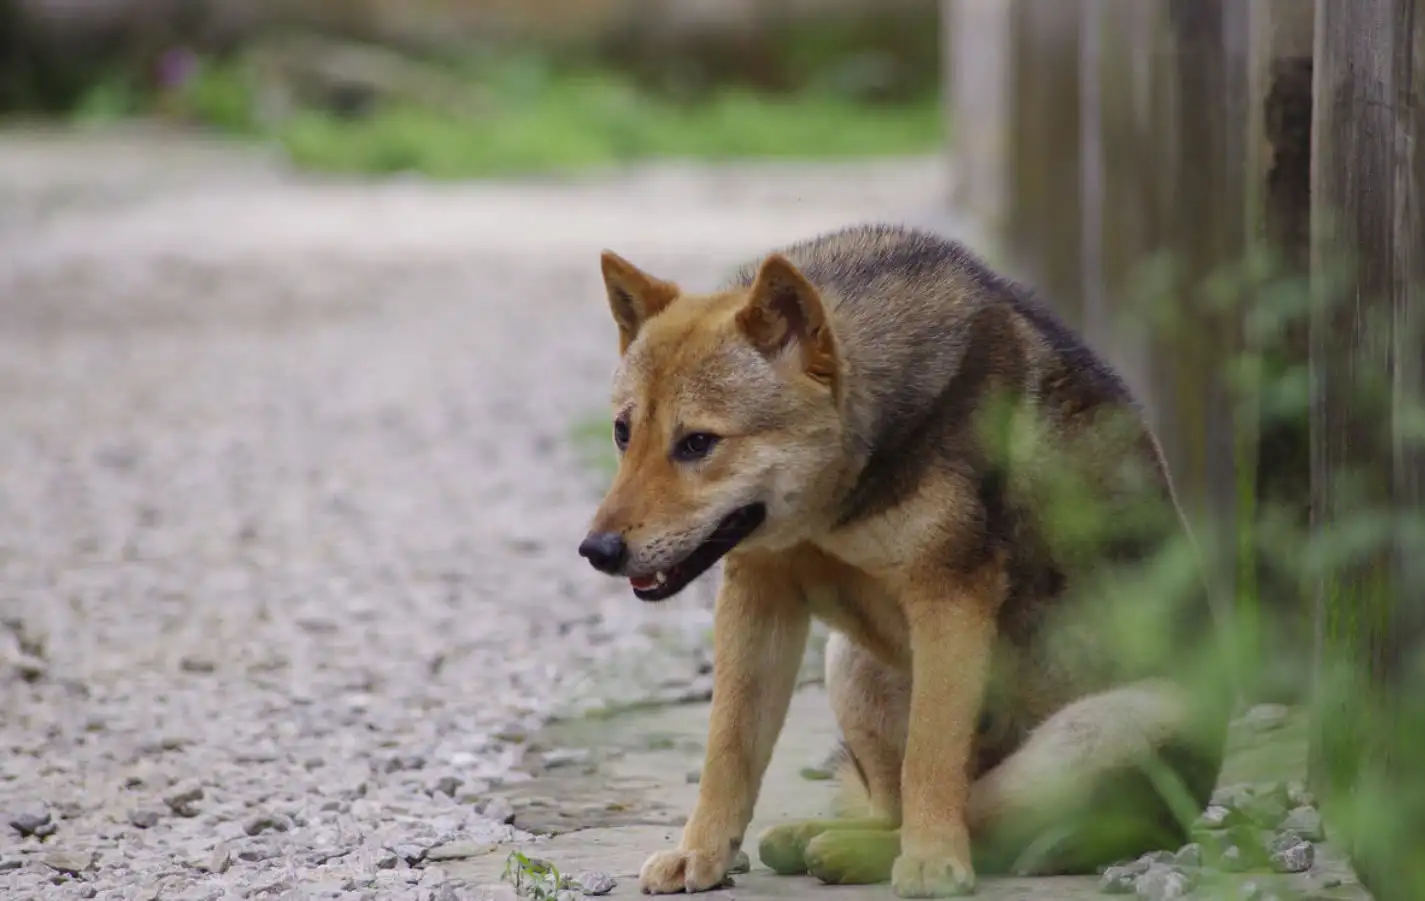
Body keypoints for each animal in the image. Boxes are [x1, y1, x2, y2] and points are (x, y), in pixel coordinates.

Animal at [572, 223, 1231, 895]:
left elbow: (931, 758)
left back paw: (865, 851)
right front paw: (700, 854)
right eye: (623, 432)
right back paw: (823, 838)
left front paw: (933, 863)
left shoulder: (949, 600)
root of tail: (1171, 825)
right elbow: (729, 747)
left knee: (983, 819)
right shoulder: (758, 592)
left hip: (1103, 729)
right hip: (851, 662)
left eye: (698, 443)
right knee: (897, 804)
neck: (837, 502)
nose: (597, 550)